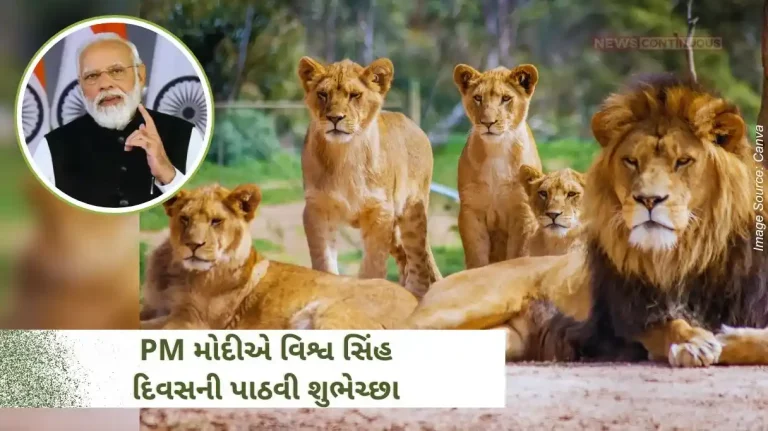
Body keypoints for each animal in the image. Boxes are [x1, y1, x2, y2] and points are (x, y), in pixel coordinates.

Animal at [139, 183, 418, 330]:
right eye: (184, 219)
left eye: (216, 221)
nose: (193, 245)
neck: (179, 272)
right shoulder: (154, 307)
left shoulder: (192, 321)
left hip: (332, 314)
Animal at [297, 56, 441, 298]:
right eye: (323, 94)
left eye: (354, 95)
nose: (334, 118)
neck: (344, 154)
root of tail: (414, 125)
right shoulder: (317, 209)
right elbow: (323, 260)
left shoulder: (380, 211)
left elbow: (373, 264)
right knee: (404, 257)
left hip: (412, 212)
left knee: (418, 259)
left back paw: (414, 294)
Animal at [453, 63, 543, 269]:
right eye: (478, 98)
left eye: (506, 98)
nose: (488, 123)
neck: (497, 149)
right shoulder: (471, 211)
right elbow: (477, 258)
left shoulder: (522, 212)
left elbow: (518, 255)